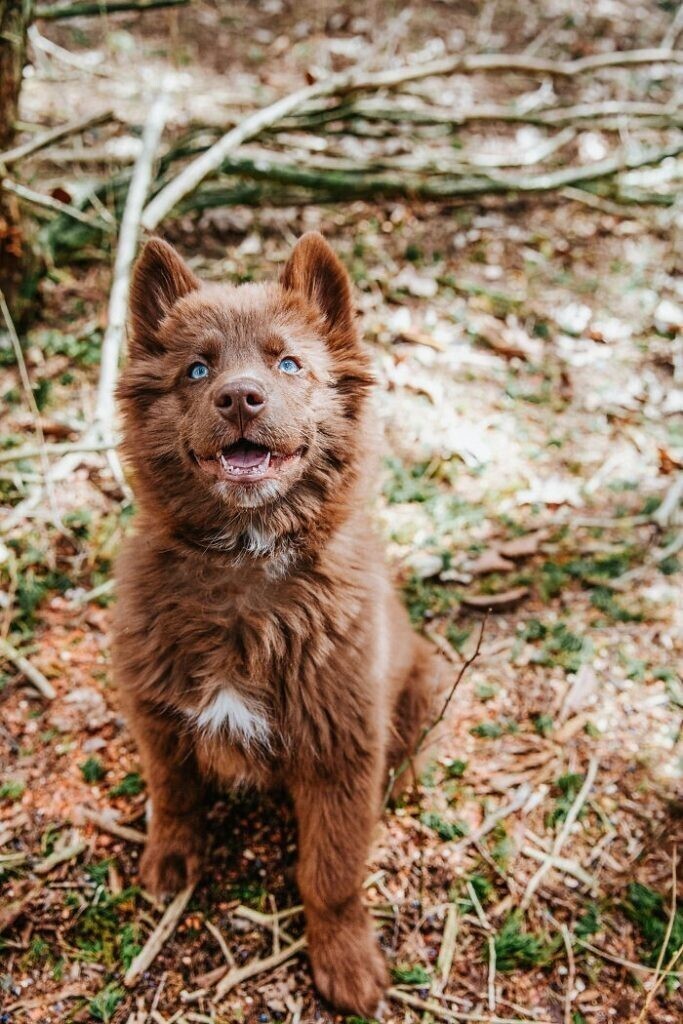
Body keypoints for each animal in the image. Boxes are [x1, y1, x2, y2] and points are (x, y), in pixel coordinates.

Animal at [112, 234, 444, 1015]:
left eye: (289, 363)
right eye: (196, 369)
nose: (239, 396)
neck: (244, 565)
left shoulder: (340, 748)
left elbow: (329, 873)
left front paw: (345, 961)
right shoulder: (157, 712)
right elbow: (173, 793)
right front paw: (170, 859)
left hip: (426, 679)